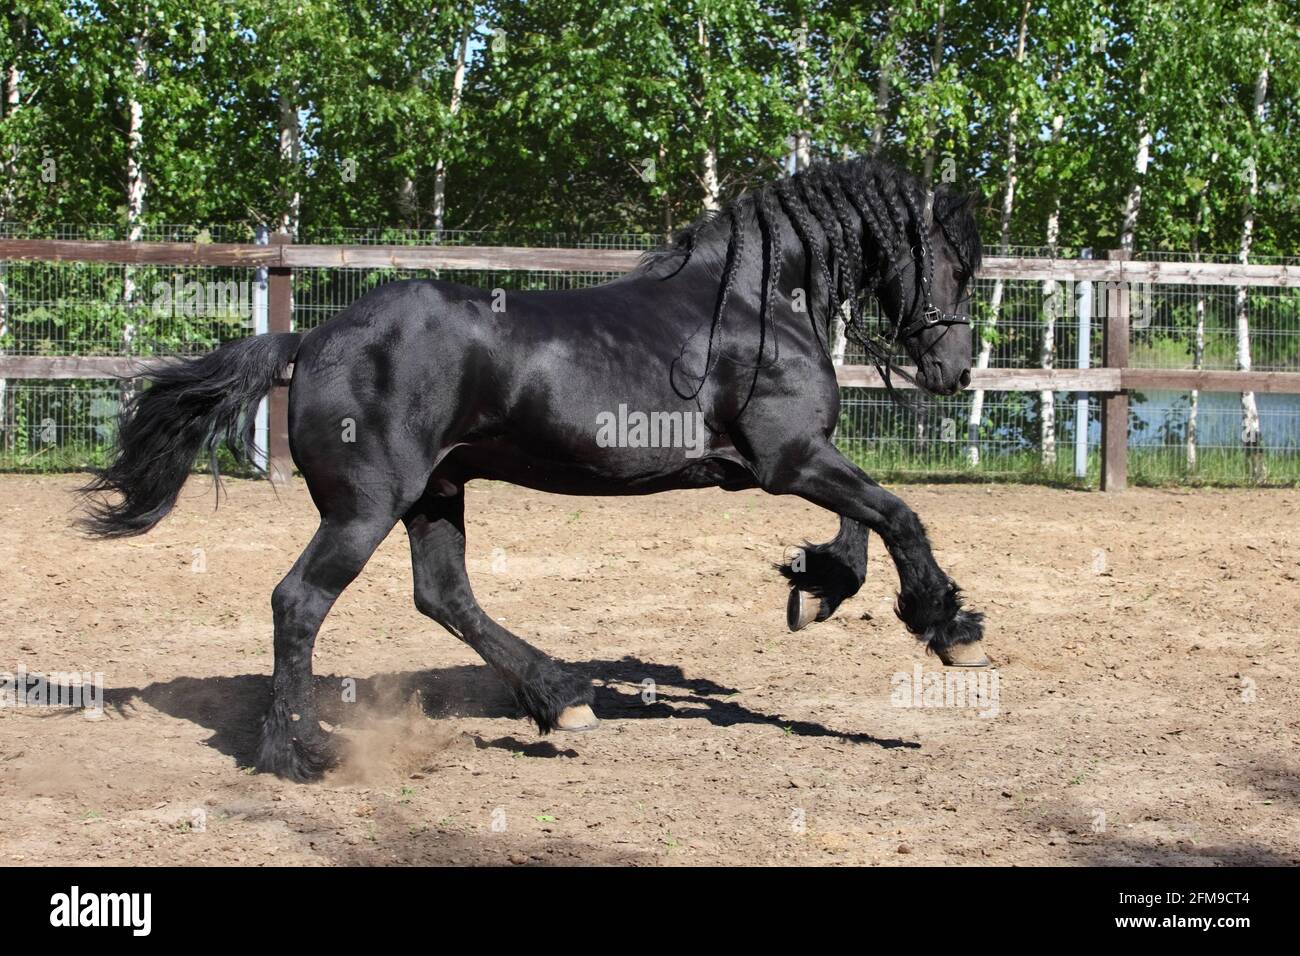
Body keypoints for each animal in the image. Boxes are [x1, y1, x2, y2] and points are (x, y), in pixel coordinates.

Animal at [78, 158, 982, 785]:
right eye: (956, 261)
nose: (956, 369)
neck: (757, 304)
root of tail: (311, 339)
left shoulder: (793, 461)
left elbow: (862, 525)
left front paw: (816, 584)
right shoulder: (787, 459)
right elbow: (898, 515)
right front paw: (949, 628)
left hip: (436, 494)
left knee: (443, 595)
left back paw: (562, 698)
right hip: (366, 508)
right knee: (299, 602)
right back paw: (301, 753)